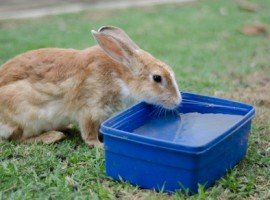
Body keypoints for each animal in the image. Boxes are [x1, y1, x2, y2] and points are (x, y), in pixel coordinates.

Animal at [0, 25, 181, 147]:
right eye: (157, 78)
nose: (177, 101)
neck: (121, 77)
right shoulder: (89, 109)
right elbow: (88, 134)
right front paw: (99, 145)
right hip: (24, 115)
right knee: (19, 138)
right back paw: (53, 136)